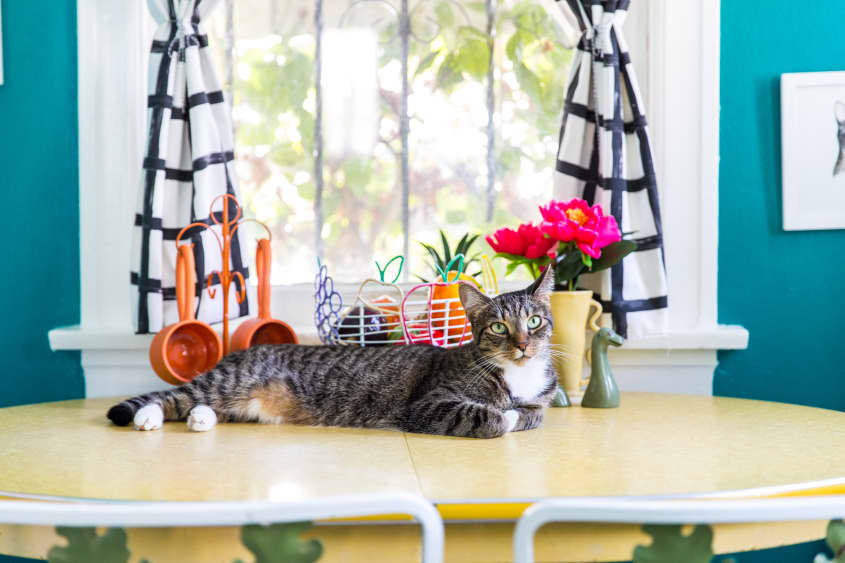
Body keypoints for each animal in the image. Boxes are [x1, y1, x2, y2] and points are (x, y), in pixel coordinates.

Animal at [107, 266, 560, 438]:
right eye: (499, 327)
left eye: (535, 321)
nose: (523, 344)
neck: (517, 375)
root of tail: (236, 355)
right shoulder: (429, 404)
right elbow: (494, 418)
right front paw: (503, 416)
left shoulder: (541, 401)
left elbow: (533, 414)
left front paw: (519, 412)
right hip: (224, 382)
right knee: (171, 397)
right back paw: (147, 418)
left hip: (234, 398)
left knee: (201, 406)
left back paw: (200, 420)